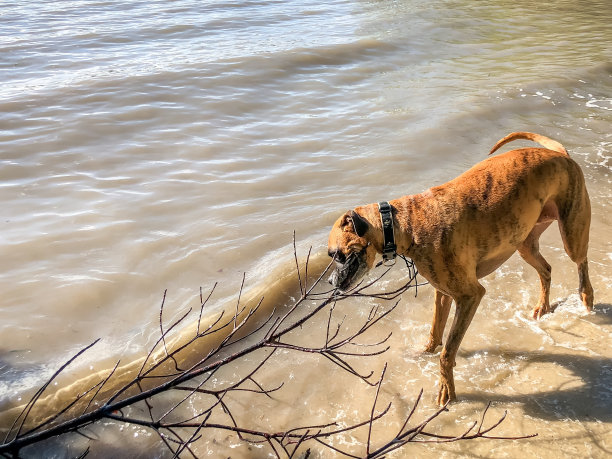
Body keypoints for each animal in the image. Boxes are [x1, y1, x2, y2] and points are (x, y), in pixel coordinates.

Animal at [328, 132, 596, 406]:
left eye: (336, 254)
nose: (330, 282)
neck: (405, 222)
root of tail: (561, 154)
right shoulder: (443, 293)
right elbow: (436, 332)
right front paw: (424, 352)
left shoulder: (469, 296)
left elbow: (447, 352)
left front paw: (447, 390)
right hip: (526, 244)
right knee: (546, 270)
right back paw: (543, 306)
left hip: (572, 233)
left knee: (581, 263)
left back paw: (586, 298)